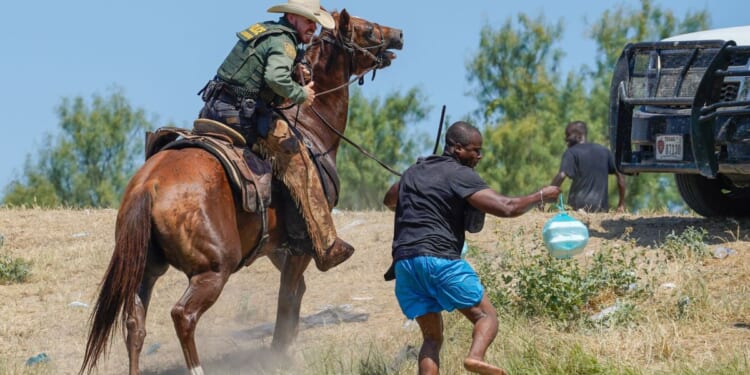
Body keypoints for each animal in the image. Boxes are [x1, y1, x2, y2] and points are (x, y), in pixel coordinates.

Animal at [79, 9, 402, 375]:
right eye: (367, 29)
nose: (399, 35)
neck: (309, 127)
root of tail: (149, 186)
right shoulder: (302, 245)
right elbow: (287, 298)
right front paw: (279, 355)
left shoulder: (277, 246)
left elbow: (295, 294)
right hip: (213, 269)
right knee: (183, 315)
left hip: (145, 269)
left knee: (135, 323)